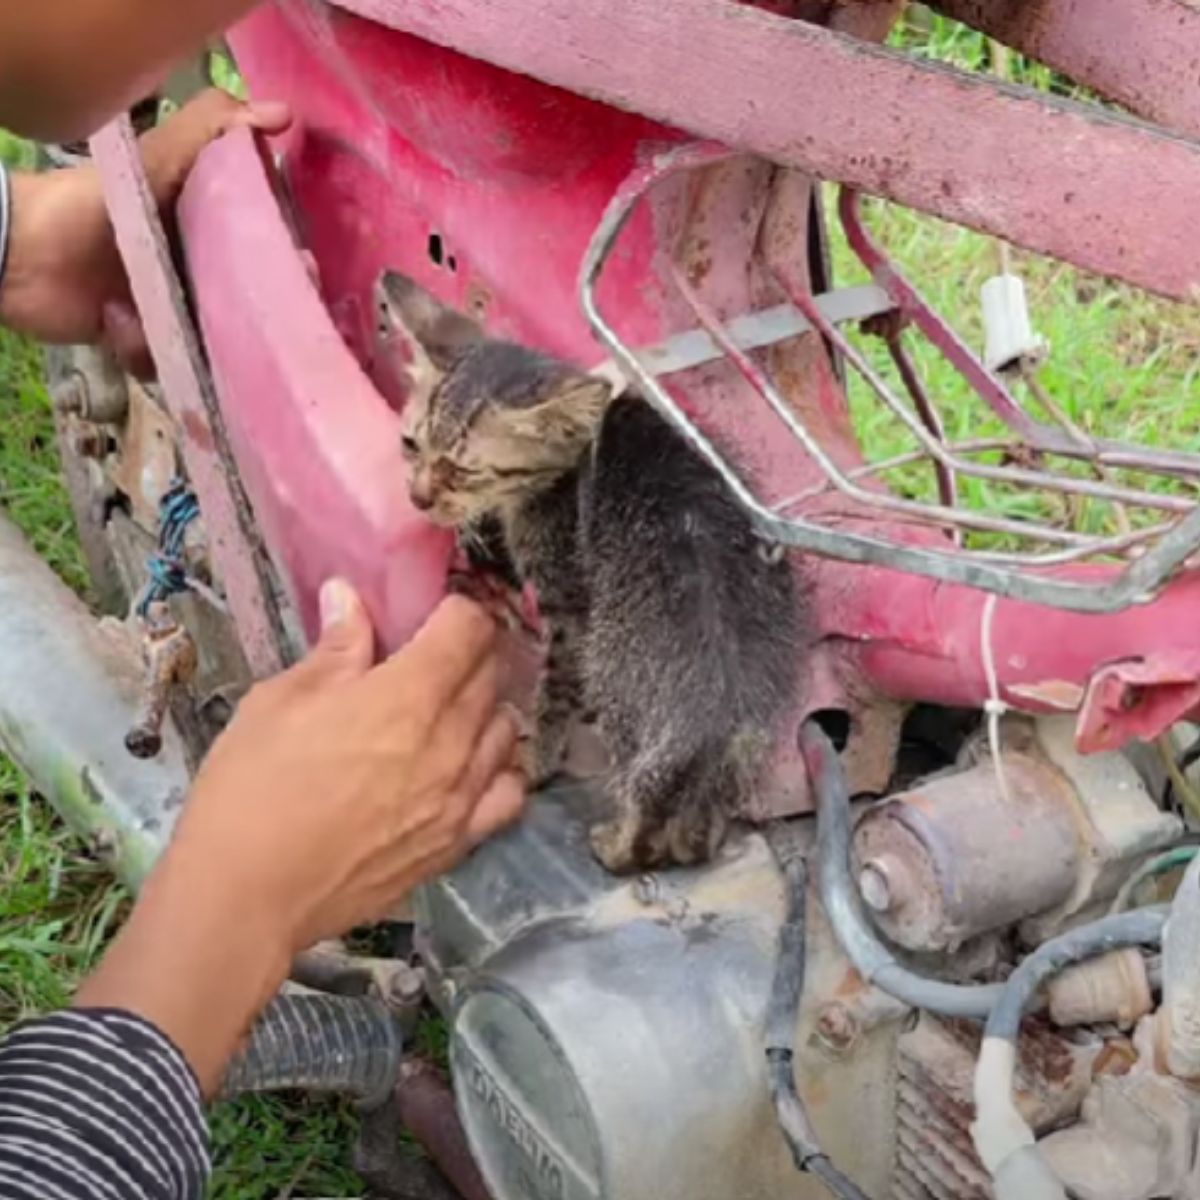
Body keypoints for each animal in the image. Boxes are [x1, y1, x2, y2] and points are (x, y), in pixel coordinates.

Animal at [379, 272, 801, 873]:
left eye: (461, 470)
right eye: (410, 444)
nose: (418, 499)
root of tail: (711, 715)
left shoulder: (570, 608)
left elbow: (553, 692)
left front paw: (537, 758)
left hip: (618, 682)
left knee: (643, 814)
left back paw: (616, 846)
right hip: (748, 736)